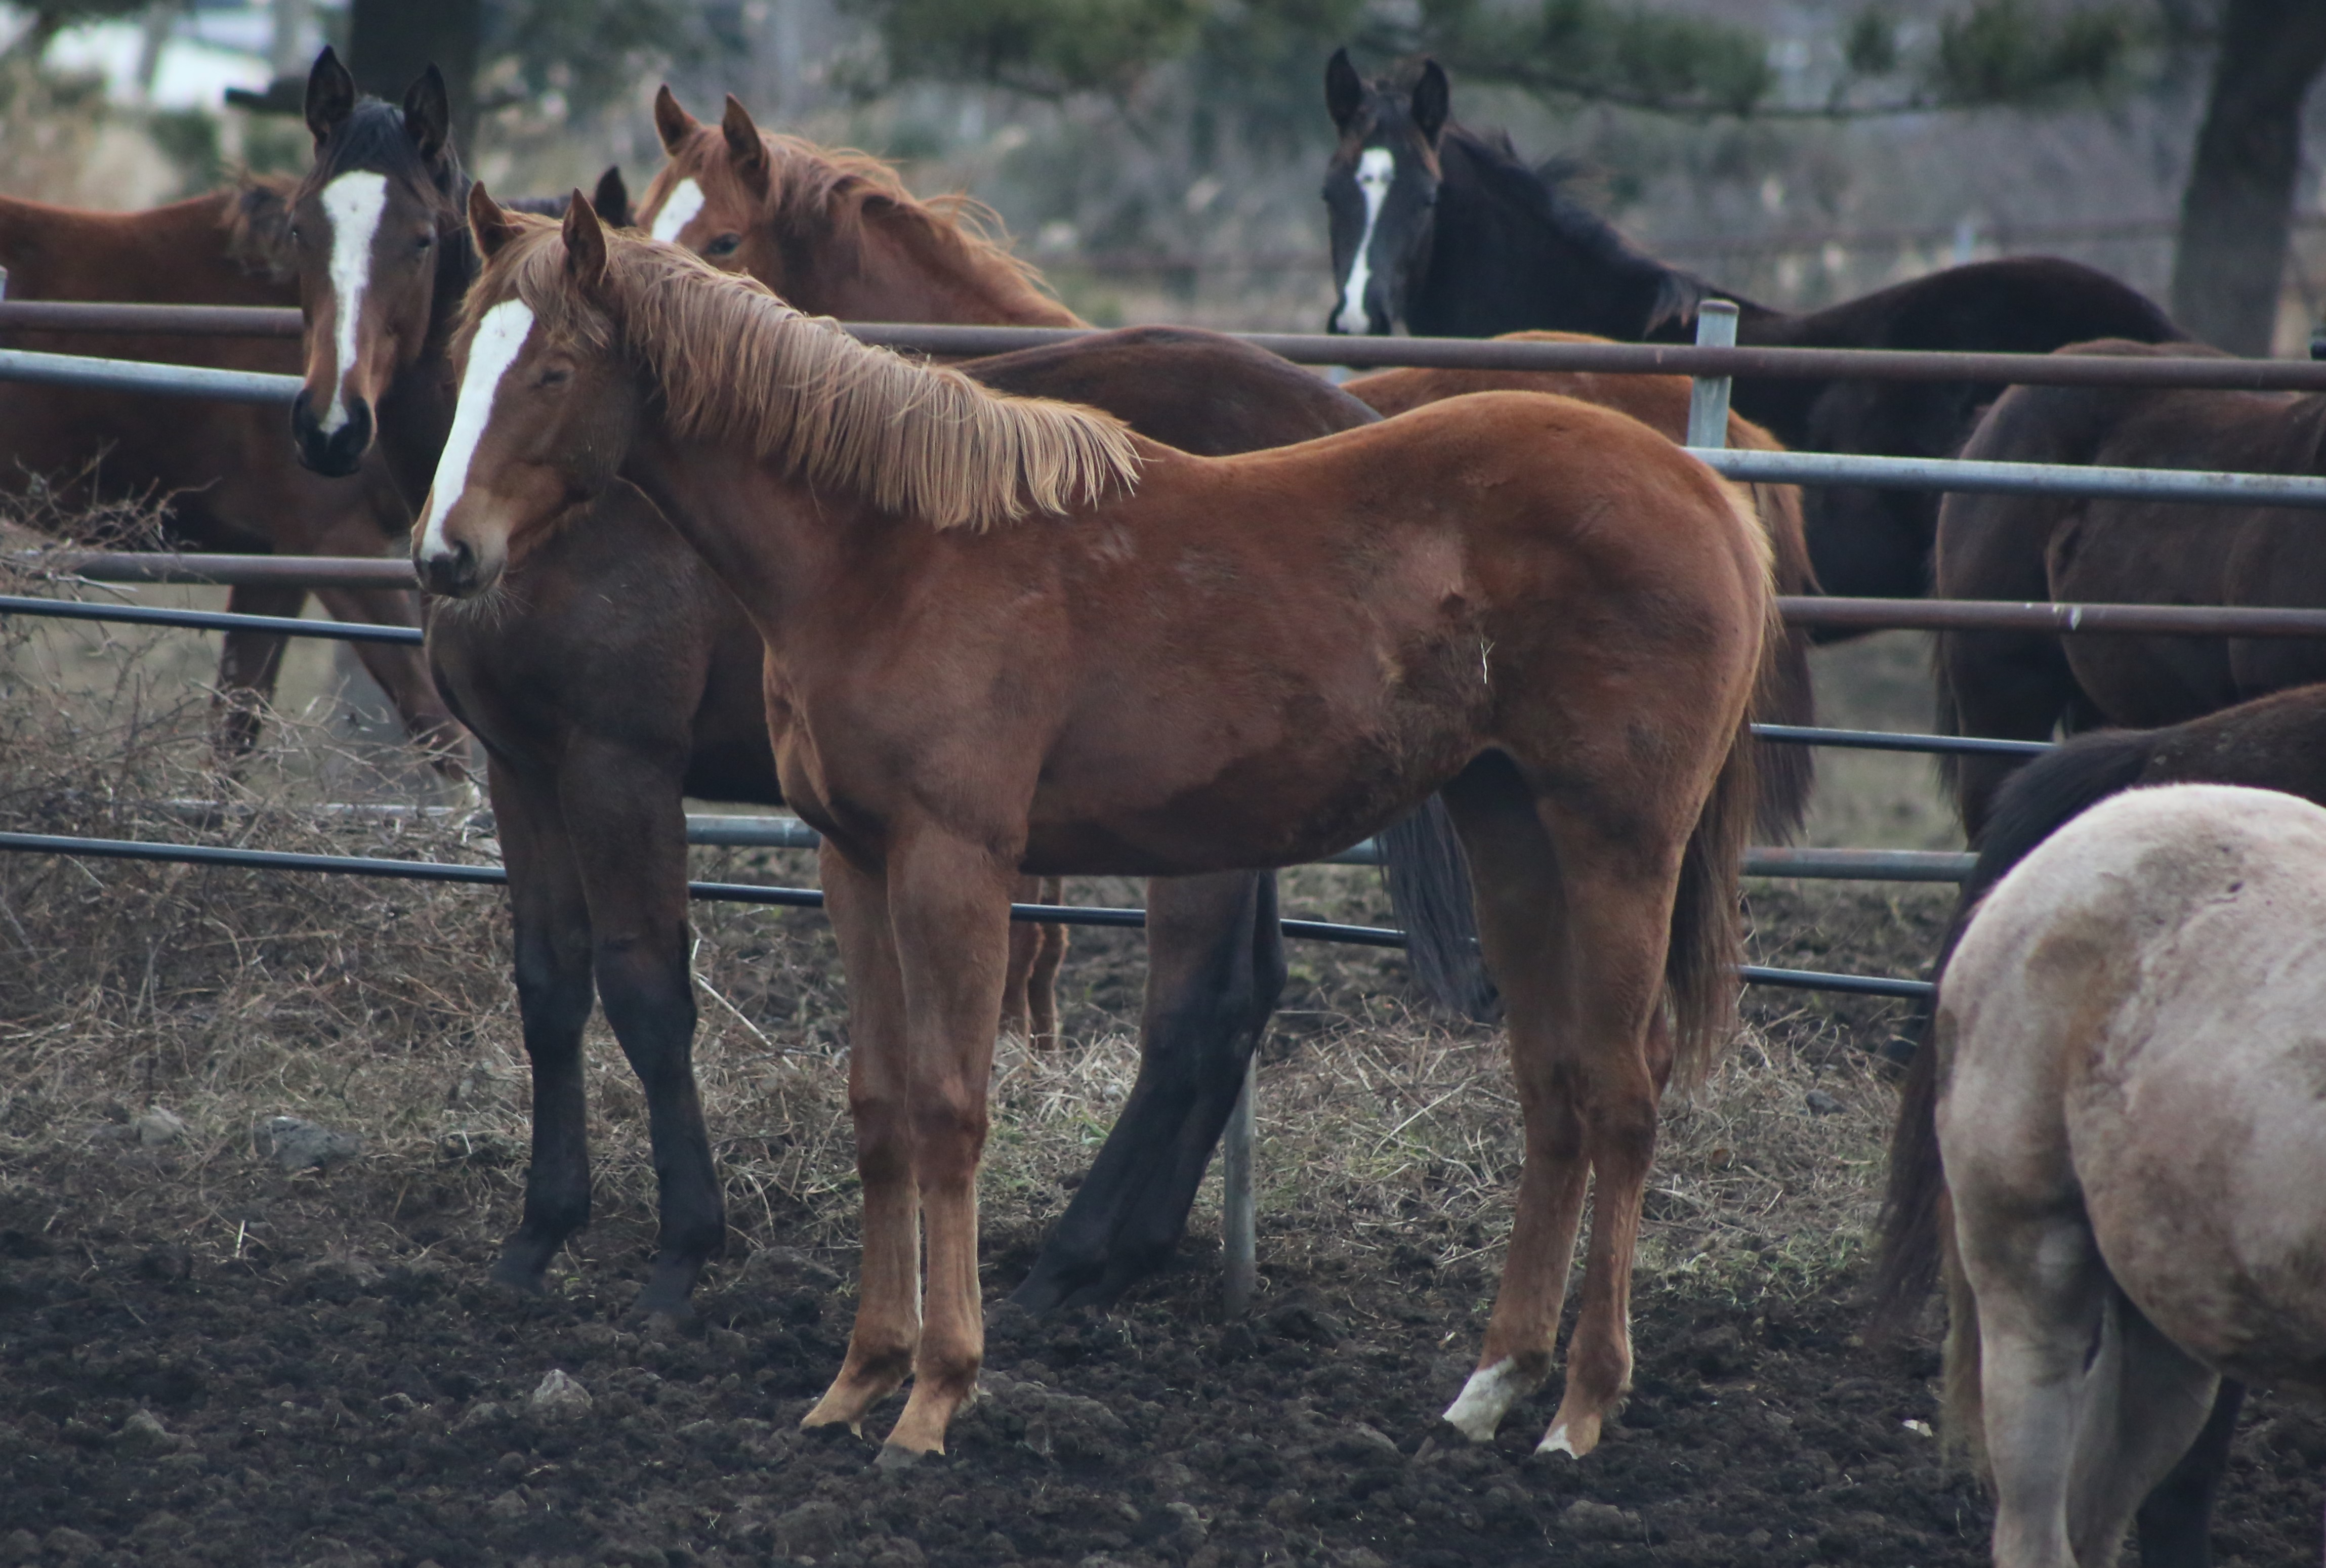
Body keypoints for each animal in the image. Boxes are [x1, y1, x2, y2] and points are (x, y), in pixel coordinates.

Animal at [414, 189, 1758, 1461]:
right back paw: (1492, 1385)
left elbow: (949, 1107)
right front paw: (857, 1379)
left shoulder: (951, 858)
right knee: (1552, 1086)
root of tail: (1705, 494)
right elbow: (880, 1106)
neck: (887, 551)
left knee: (1621, 1090)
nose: (443, 554)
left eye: (552, 369)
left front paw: (935, 1395)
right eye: (459, 355)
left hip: (1618, 846)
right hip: (1509, 830)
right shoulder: (855, 862)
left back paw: (1579, 1408)